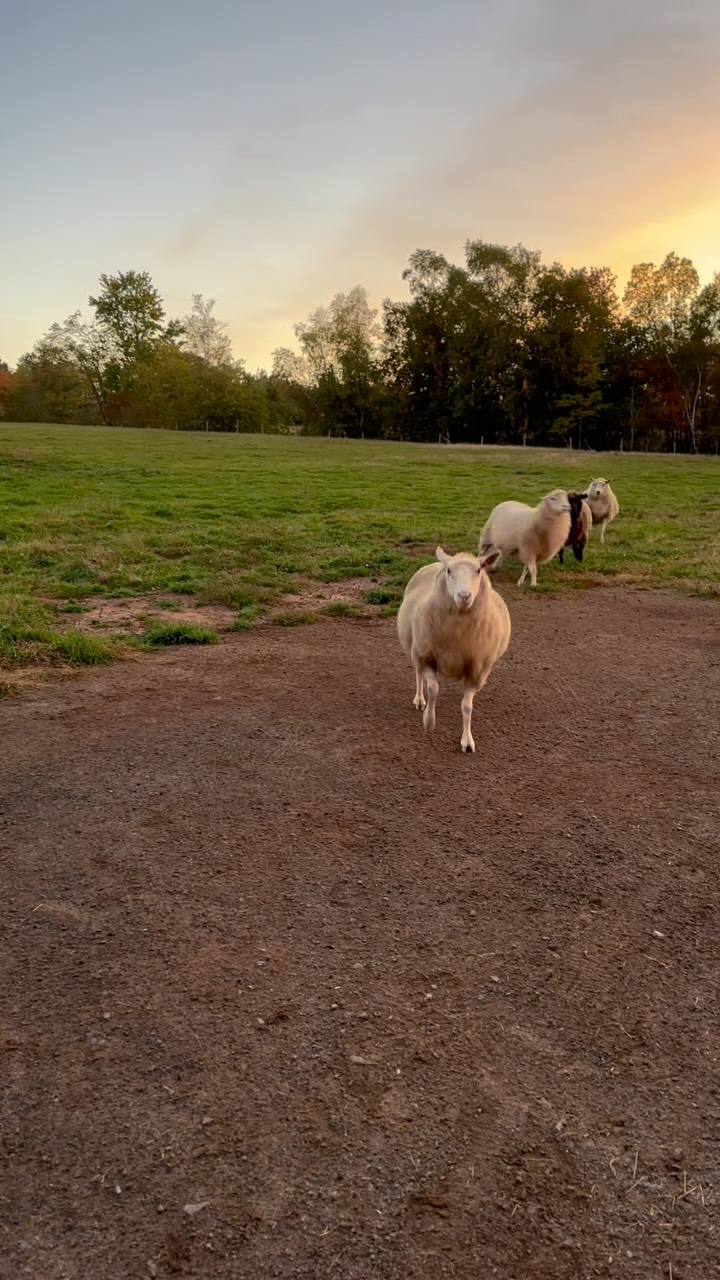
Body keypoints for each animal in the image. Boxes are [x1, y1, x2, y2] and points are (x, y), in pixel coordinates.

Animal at [397, 546, 510, 754]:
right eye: (449, 571)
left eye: (479, 570)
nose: (464, 596)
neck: (458, 633)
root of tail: (436, 562)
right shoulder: (427, 657)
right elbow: (433, 688)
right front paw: (429, 722)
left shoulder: (477, 670)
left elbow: (467, 707)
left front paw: (467, 740)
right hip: (415, 646)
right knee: (418, 675)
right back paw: (419, 700)